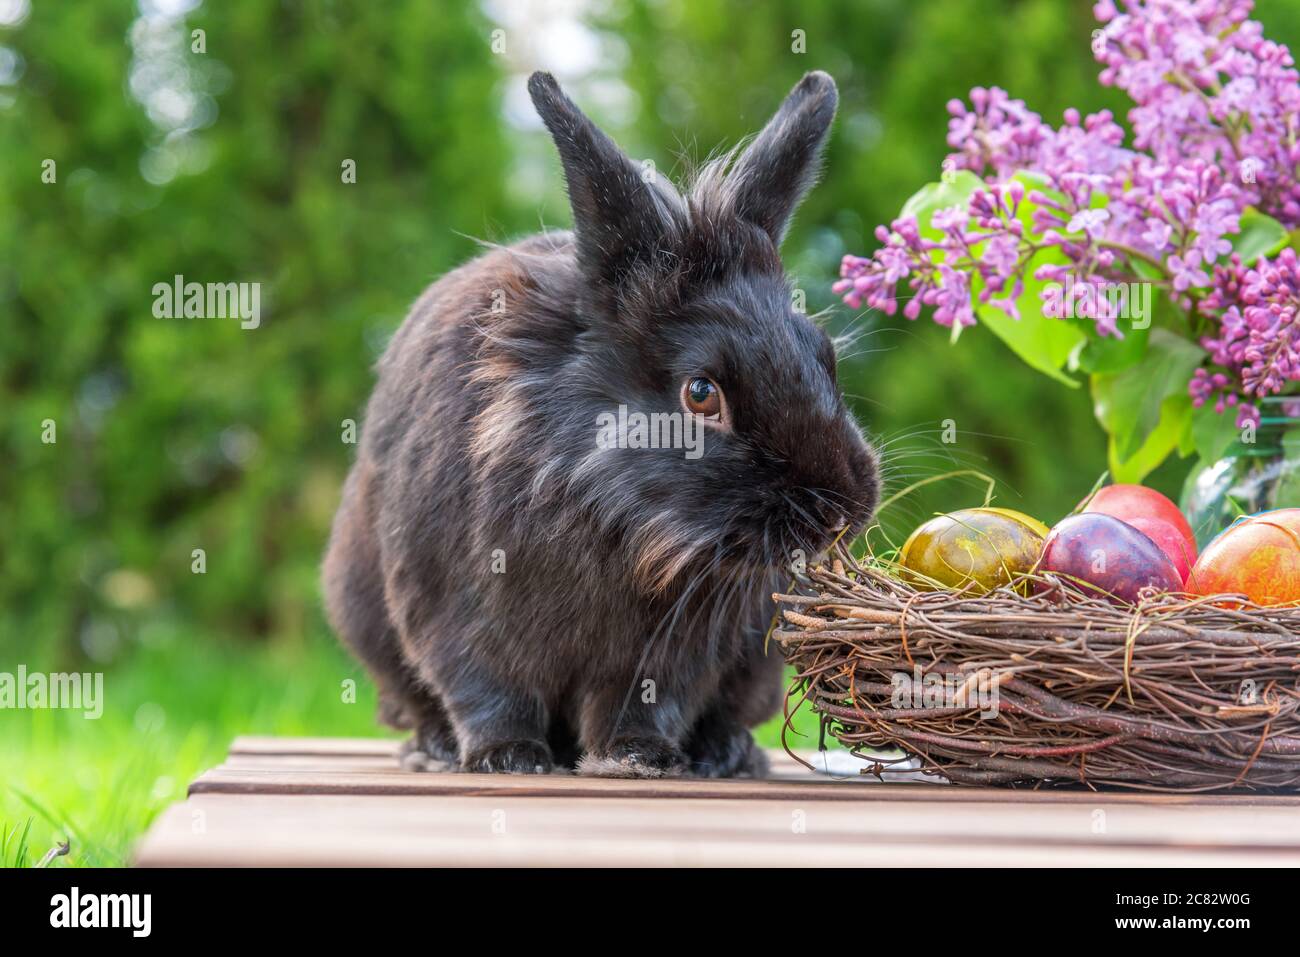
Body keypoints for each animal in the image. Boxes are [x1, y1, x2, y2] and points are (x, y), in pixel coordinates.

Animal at [322, 70, 879, 779]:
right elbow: (485, 691)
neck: (618, 522)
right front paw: (507, 759)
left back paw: (726, 755)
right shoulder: (452, 611)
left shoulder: (679, 643)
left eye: (822, 354)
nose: (841, 511)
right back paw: (435, 749)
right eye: (701, 393)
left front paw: (638, 757)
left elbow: (646, 699)